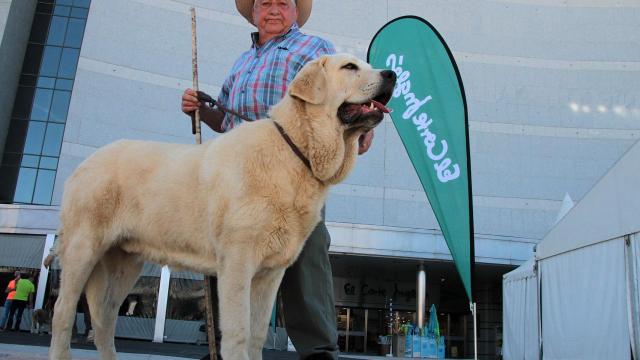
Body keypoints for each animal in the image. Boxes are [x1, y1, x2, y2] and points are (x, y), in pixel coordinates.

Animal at [48, 54, 396, 360]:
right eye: (349, 67)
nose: (391, 74)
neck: (296, 150)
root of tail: (87, 161)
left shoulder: (270, 273)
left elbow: (256, 335)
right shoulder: (238, 263)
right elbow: (239, 332)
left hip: (123, 265)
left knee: (104, 322)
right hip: (82, 250)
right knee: (62, 312)